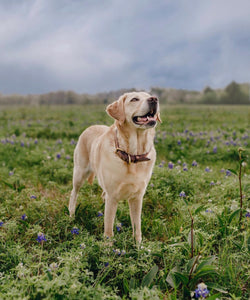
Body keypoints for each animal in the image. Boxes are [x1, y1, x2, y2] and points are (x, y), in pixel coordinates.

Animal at [68, 91, 161, 241]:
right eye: (134, 99)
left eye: (149, 95)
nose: (154, 99)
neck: (132, 155)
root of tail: (91, 126)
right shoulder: (112, 196)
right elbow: (109, 230)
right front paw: (108, 246)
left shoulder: (137, 197)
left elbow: (137, 228)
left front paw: (138, 245)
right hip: (79, 174)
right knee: (73, 193)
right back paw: (71, 215)